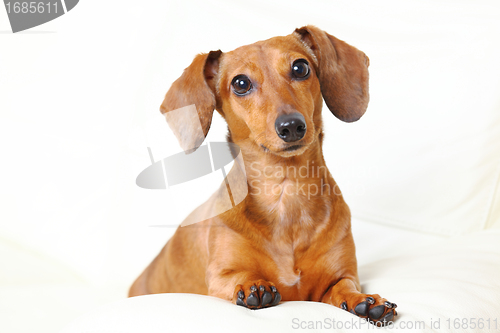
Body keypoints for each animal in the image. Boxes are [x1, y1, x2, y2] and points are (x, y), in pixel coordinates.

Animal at [130, 25, 398, 324]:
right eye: (240, 83)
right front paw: (253, 285)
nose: (291, 126)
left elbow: (344, 286)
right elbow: (239, 277)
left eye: (301, 67)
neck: (286, 192)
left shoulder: (341, 276)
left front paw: (364, 300)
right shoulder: (219, 278)